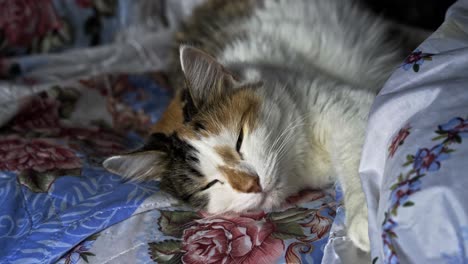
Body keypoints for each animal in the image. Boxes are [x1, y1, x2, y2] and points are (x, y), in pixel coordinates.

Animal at [102, 0, 428, 252]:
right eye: (209, 183)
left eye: (239, 140)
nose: (252, 184)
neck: (301, 169)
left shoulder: (346, 107)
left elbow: (357, 159)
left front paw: (366, 222)